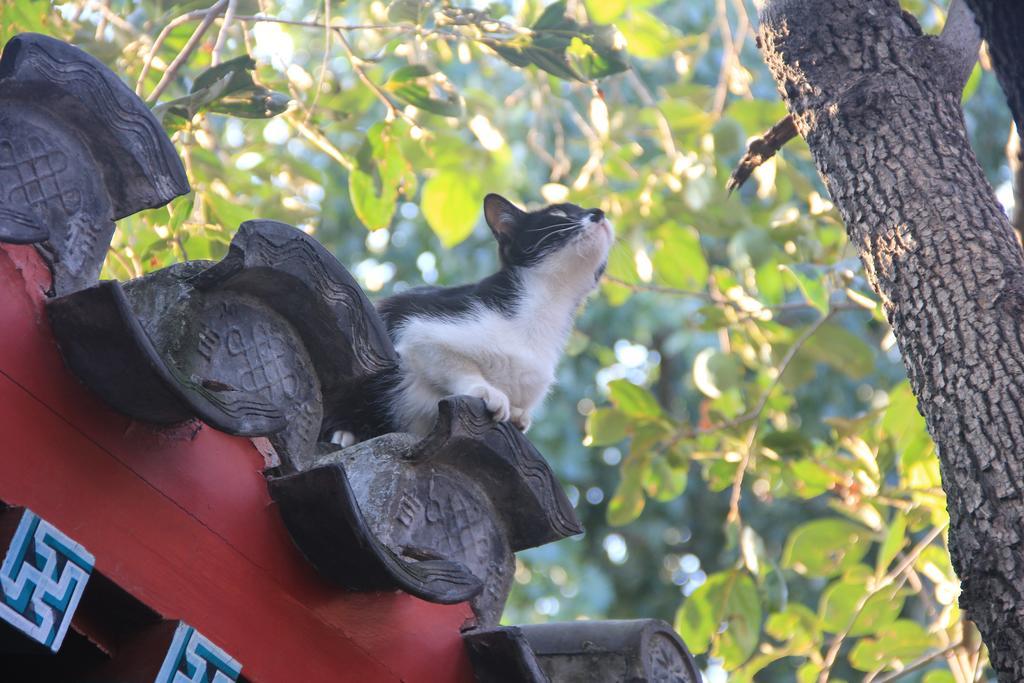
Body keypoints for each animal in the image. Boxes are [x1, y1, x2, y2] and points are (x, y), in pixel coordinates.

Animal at [331, 192, 610, 444]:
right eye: (559, 214)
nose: (599, 212)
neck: (548, 305)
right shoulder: (417, 329)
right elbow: (452, 363)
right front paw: (486, 391)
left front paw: (518, 414)